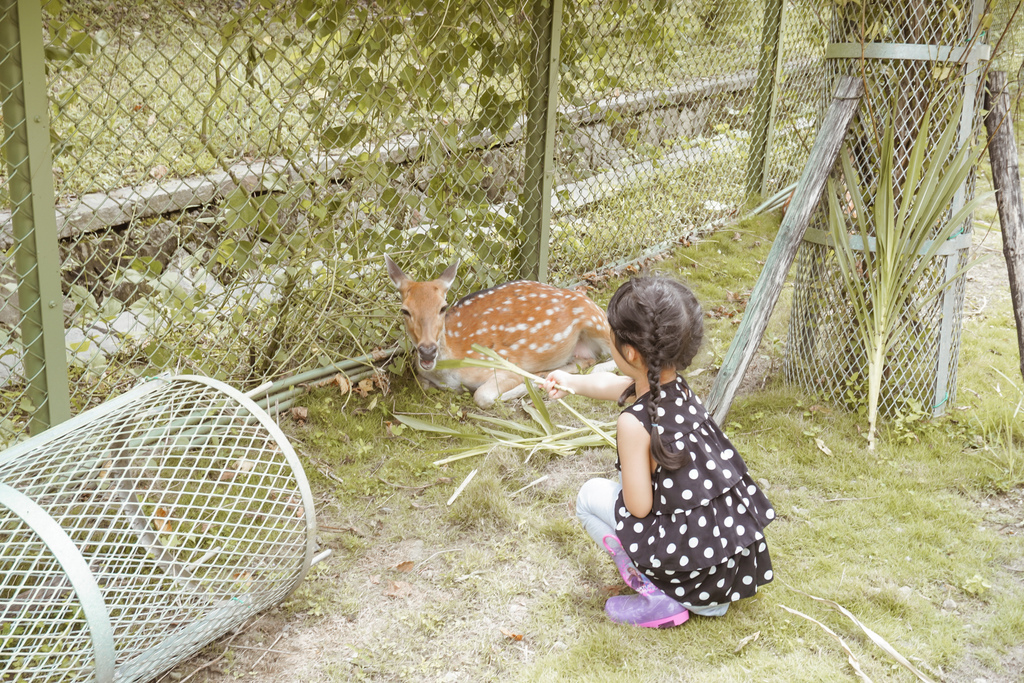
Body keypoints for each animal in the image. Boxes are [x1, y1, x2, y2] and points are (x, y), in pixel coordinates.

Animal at [385, 254, 606, 405]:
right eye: (405, 310)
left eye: (442, 307)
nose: (428, 350)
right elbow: (423, 383)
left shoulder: (505, 364)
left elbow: (482, 396)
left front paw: (530, 383)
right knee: (588, 360)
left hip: (595, 318)